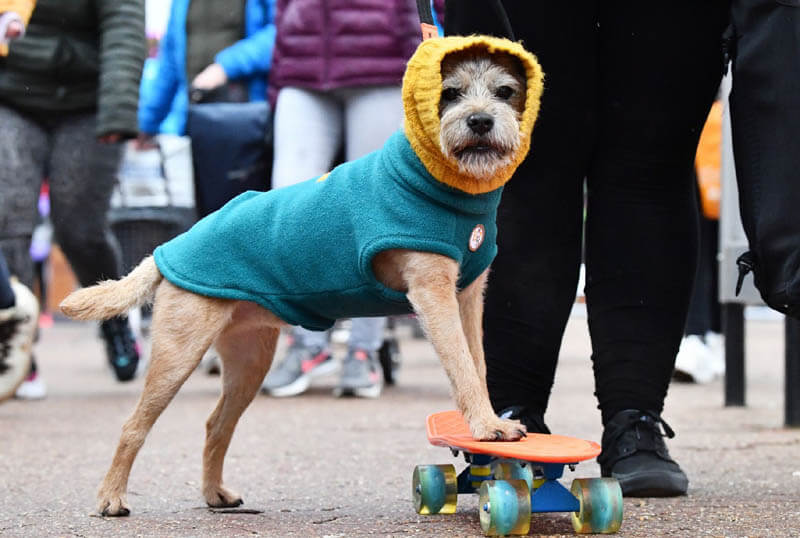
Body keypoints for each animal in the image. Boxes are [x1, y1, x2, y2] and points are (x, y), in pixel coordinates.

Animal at [57, 35, 544, 512]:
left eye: (505, 92)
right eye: (450, 93)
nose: (480, 121)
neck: (439, 182)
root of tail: (168, 250)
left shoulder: (466, 297)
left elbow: (478, 363)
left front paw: (488, 423)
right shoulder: (432, 294)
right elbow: (462, 365)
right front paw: (484, 425)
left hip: (250, 360)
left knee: (216, 424)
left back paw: (215, 493)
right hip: (177, 355)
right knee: (134, 424)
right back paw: (112, 497)